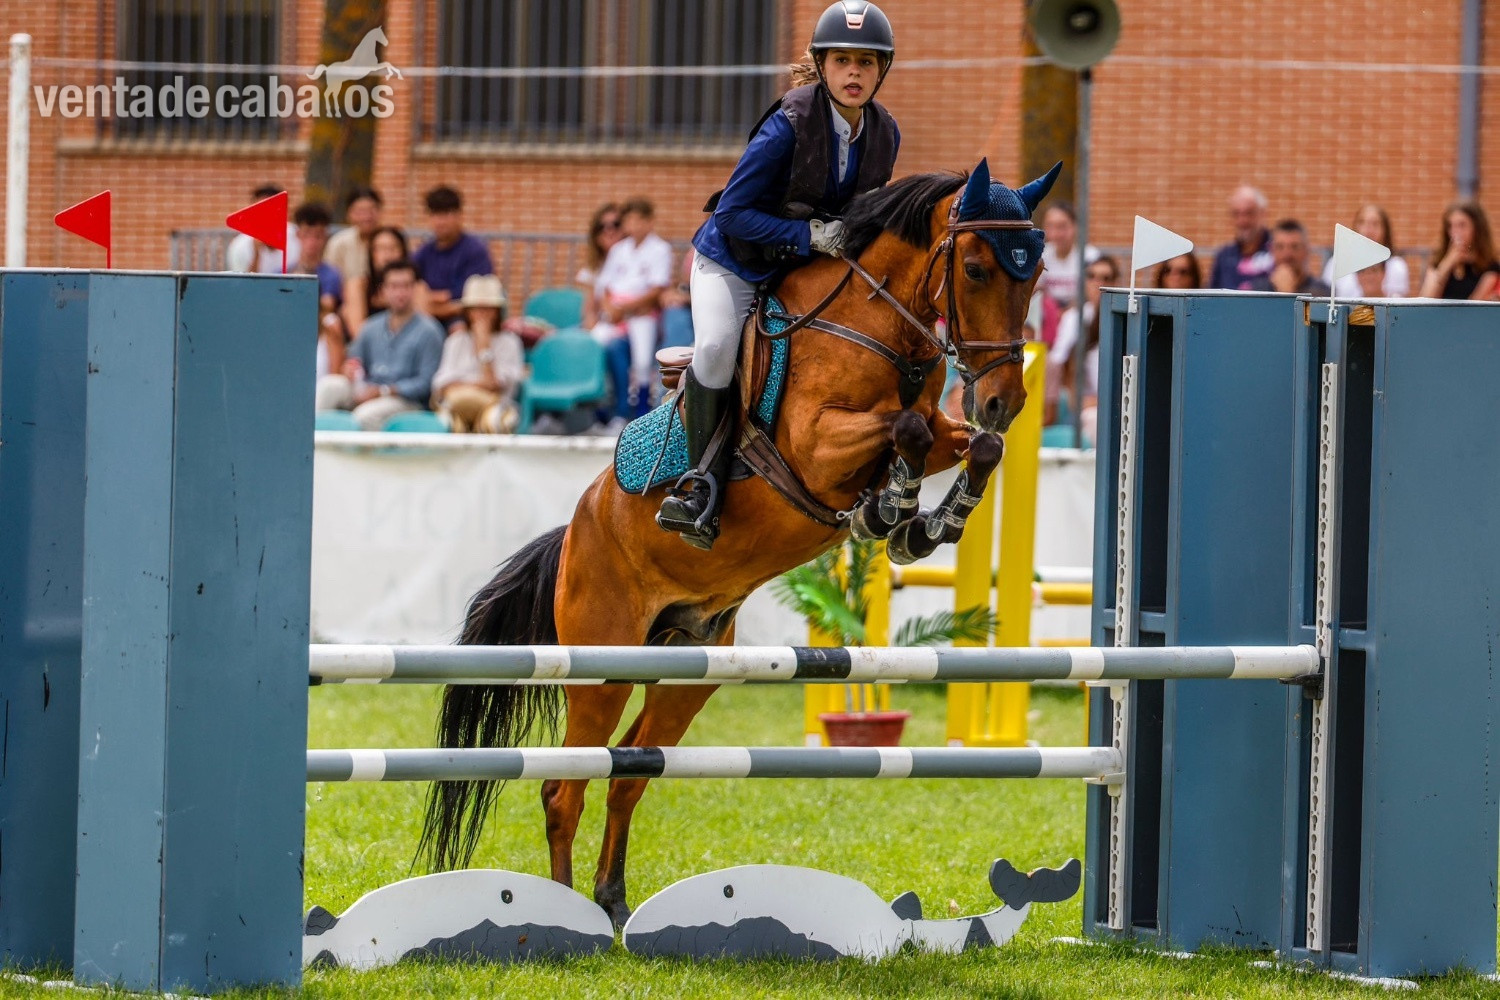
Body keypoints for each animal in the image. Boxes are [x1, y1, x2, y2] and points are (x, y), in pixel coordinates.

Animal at [417, 158, 1060, 929]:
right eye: (975, 268)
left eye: (1036, 270)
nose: (1003, 400)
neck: (876, 325)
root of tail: (574, 532)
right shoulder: (816, 447)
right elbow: (902, 428)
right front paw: (894, 512)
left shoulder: (941, 430)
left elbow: (973, 445)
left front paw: (923, 524)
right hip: (602, 664)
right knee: (565, 787)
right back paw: (570, 916)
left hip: (687, 673)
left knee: (628, 774)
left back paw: (613, 905)